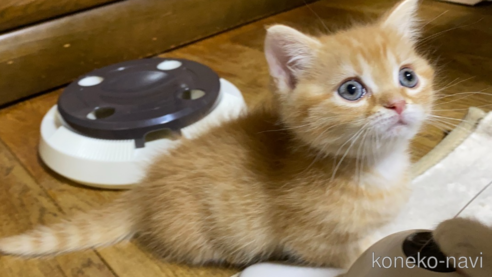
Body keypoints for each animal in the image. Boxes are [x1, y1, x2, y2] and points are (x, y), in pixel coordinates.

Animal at [0, 0, 434, 268]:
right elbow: (359, 251)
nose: (397, 104)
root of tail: (142, 192)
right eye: (351, 90)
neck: (376, 166)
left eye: (407, 77)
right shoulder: (311, 240)